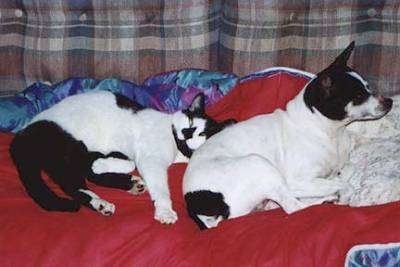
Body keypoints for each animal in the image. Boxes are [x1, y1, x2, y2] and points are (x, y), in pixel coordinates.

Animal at [8, 91, 234, 225]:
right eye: (190, 122)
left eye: (202, 134)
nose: (187, 132)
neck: (175, 145)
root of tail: (21, 136)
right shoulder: (149, 161)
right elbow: (153, 183)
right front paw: (164, 211)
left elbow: (120, 163)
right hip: (70, 148)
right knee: (78, 180)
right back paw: (104, 196)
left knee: (79, 181)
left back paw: (120, 191)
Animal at [183, 42, 392, 230]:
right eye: (358, 97)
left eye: (368, 87)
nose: (389, 101)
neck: (325, 130)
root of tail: (194, 202)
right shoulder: (298, 180)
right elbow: (342, 184)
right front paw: (344, 194)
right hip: (258, 163)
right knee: (293, 208)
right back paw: (326, 199)